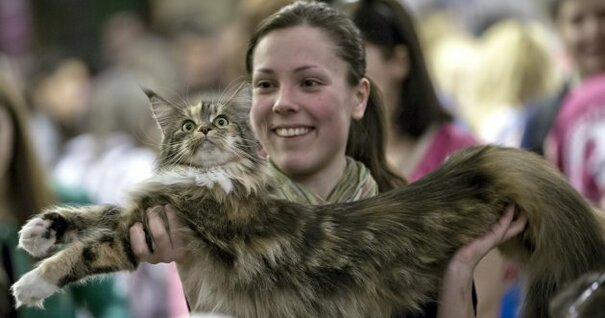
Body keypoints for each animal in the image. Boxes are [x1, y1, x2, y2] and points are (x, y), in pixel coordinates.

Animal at [10, 83, 605, 316]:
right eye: (186, 126)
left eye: (221, 122)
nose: (204, 133)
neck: (211, 177)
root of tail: (473, 171)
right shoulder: (153, 205)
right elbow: (94, 215)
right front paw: (39, 230)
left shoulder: (172, 218)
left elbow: (92, 248)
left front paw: (32, 282)